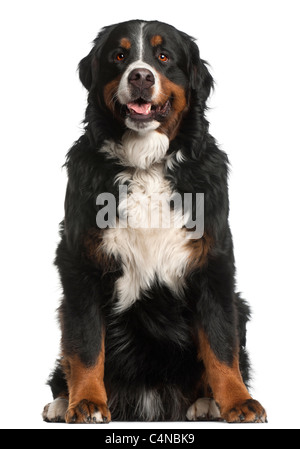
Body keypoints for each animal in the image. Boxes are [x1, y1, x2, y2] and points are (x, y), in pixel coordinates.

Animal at [42, 18, 268, 424]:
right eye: (119, 56)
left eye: (163, 57)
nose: (141, 76)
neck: (146, 164)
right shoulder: (80, 263)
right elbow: (85, 345)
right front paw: (86, 402)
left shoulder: (213, 263)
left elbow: (221, 343)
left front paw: (238, 401)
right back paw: (61, 402)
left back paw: (206, 403)